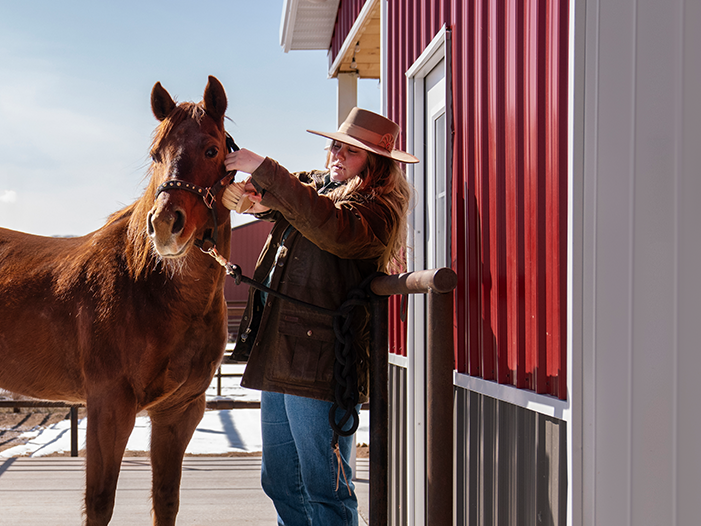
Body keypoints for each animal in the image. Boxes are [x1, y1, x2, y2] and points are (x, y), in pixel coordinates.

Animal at [0, 76, 234, 525]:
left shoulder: (179, 413)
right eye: (156, 154)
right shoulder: (109, 407)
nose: (166, 225)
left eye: (212, 149)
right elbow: (100, 503)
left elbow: (166, 500)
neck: (147, 287)